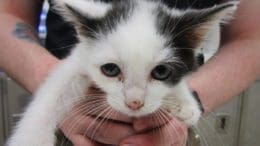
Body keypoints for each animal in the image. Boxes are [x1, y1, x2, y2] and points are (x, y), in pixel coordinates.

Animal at [6, 0, 238, 145]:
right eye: (110, 69)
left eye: (161, 71)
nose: (134, 103)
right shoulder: (79, 60)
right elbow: (55, 90)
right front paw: (31, 139)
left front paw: (185, 104)